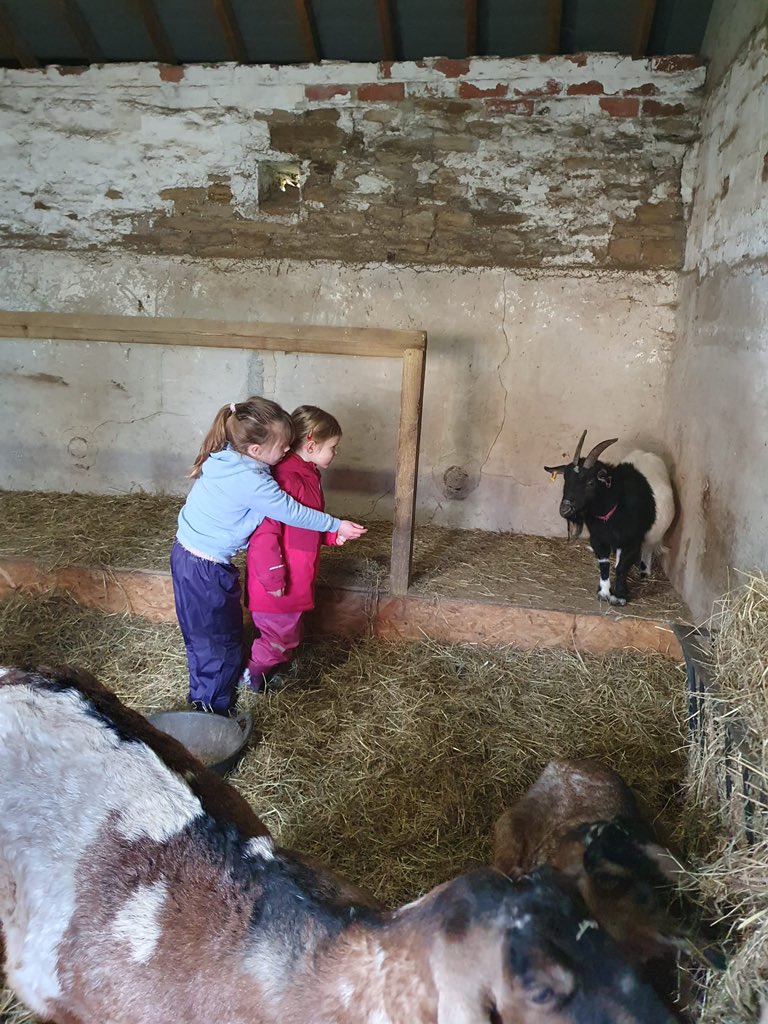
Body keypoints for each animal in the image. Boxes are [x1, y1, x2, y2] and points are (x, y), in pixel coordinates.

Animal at [544, 430, 675, 602]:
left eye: (590, 482)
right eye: (565, 478)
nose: (565, 509)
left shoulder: (632, 540)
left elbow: (623, 567)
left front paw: (619, 596)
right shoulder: (598, 538)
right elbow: (604, 564)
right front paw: (604, 592)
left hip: (652, 534)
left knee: (648, 548)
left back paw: (644, 572)